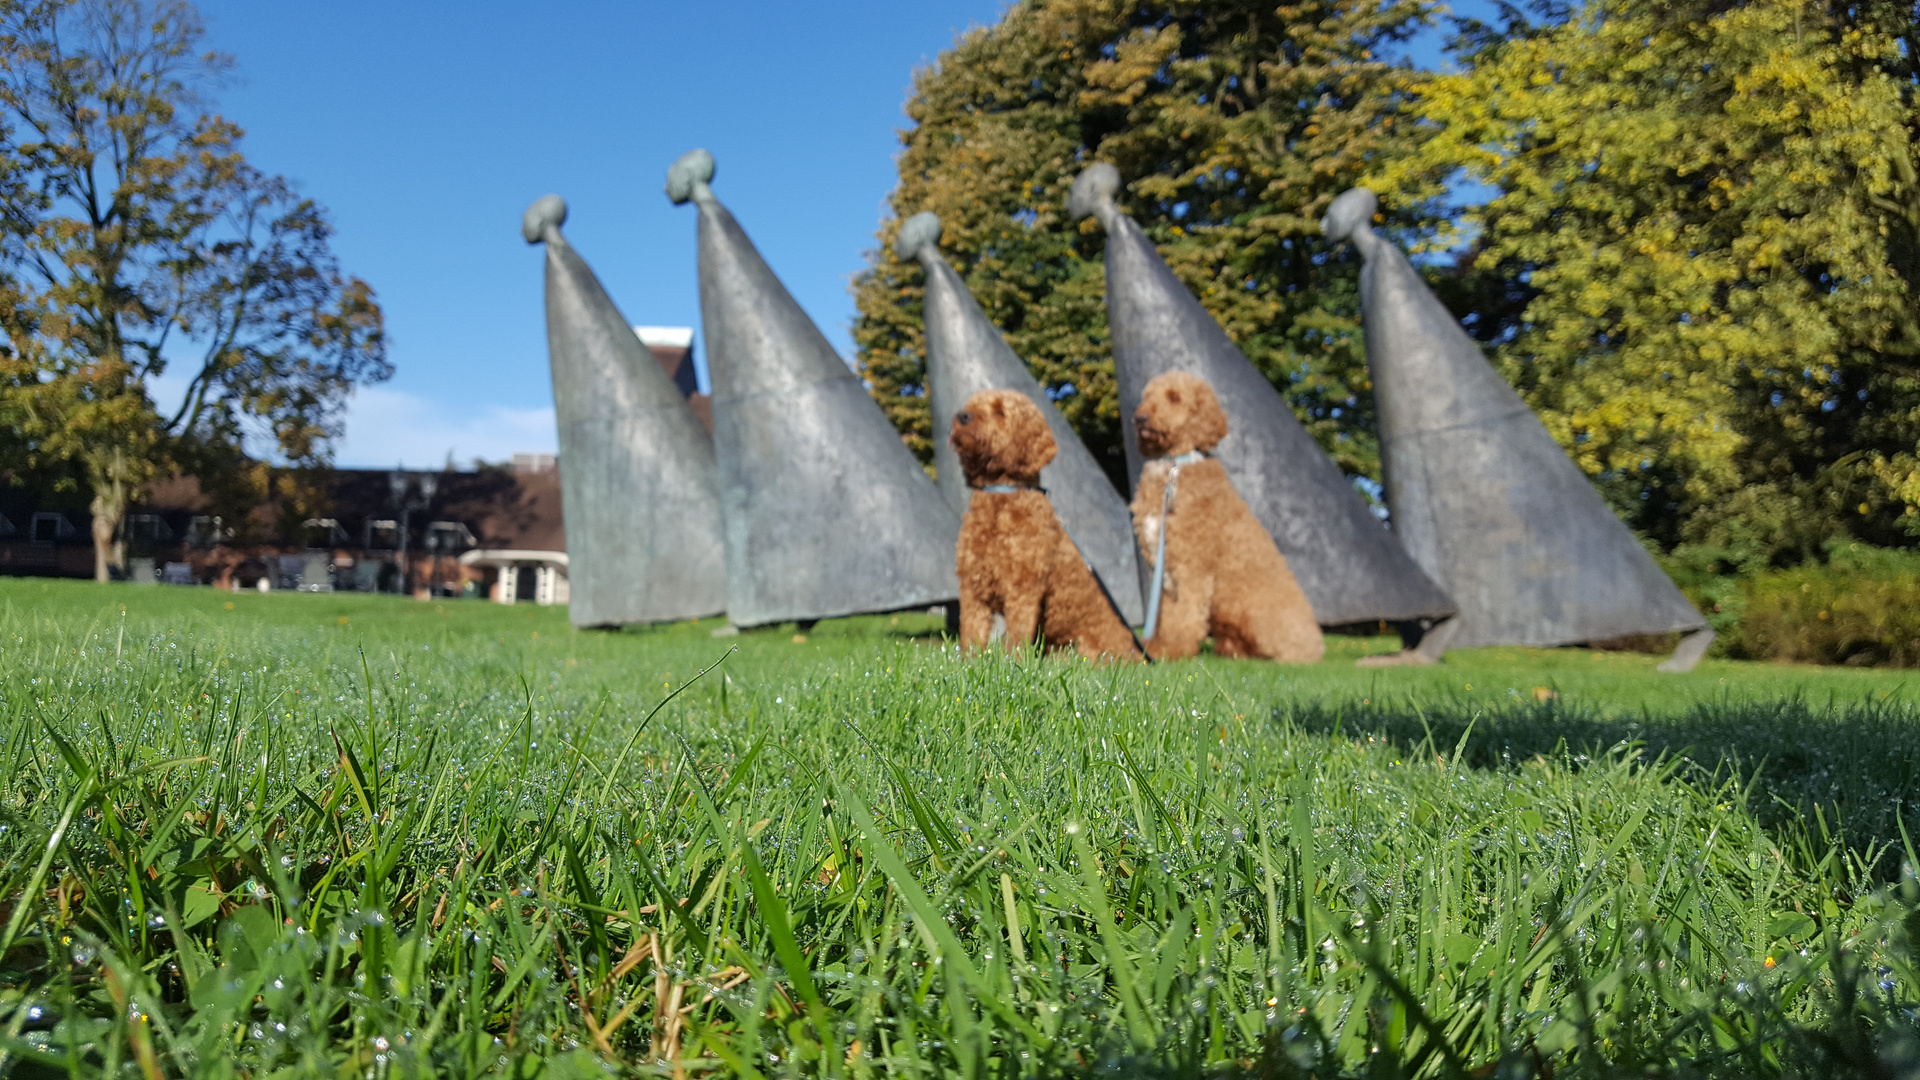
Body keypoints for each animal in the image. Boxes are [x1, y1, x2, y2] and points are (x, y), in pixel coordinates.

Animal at [948, 386, 1136, 657]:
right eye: (971, 405)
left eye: (1000, 411)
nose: (962, 416)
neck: (1001, 495)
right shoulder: (973, 587)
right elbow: (971, 635)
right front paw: (969, 662)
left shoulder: (1023, 589)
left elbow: (1017, 637)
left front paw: (1012, 662)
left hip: (1086, 648)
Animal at [1128, 367, 1328, 657]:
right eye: (1146, 396)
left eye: (1174, 397)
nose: (1139, 418)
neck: (1173, 466)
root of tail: (1317, 643)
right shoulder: (1165, 569)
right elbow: (1169, 616)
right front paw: (1158, 644)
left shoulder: (1192, 566)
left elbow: (1186, 615)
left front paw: (1174, 649)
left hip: (1254, 612)